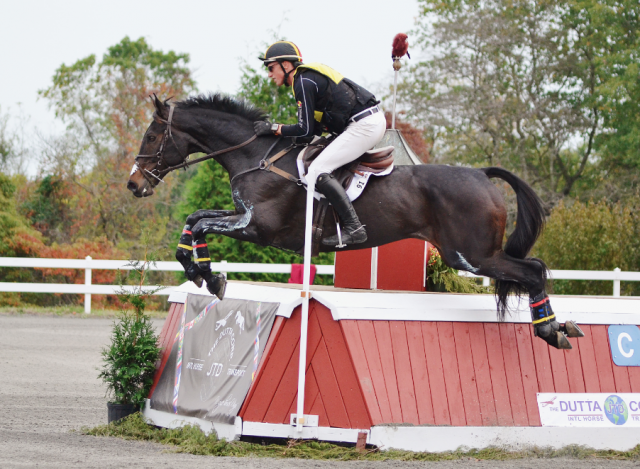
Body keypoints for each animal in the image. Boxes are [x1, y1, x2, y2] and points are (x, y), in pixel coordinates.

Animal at [127, 94, 584, 348]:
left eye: (151, 135)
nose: (134, 185)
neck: (255, 155)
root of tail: (481, 174)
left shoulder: (259, 227)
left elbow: (203, 223)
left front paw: (209, 276)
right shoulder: (243, 217)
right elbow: (195, 219)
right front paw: (201, 272)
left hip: (470, 255)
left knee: (533, 269)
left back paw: (550, 331)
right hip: (471, 255)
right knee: (532, 269)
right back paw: (558, 326)